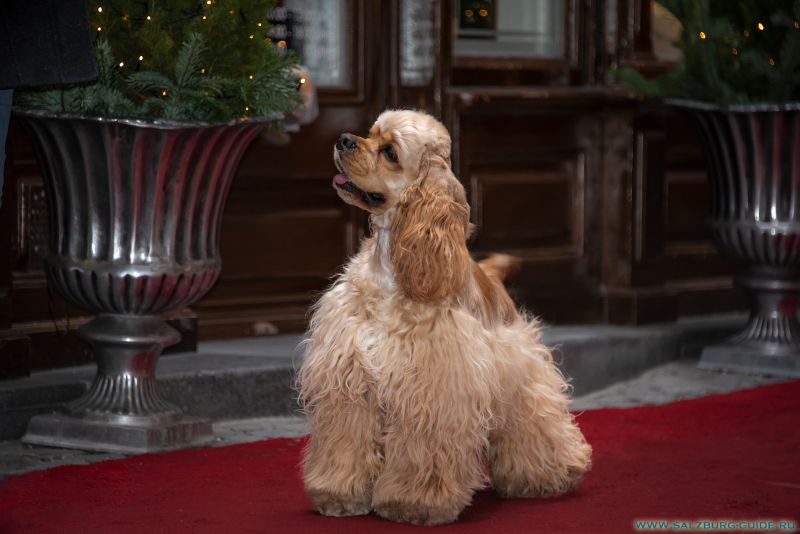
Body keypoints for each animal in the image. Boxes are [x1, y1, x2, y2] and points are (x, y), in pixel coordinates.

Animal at [296, 110, 592, 528]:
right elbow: (346, 444)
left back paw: (547, 476)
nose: (343, 140)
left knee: (537, 424)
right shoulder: (350, 385)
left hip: (523, 377)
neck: (392, 270)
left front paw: (413, 504)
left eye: (390, 152)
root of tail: (493, 278)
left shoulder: (433, 389)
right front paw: (337, 496)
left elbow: (423, 455)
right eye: (370, 132)